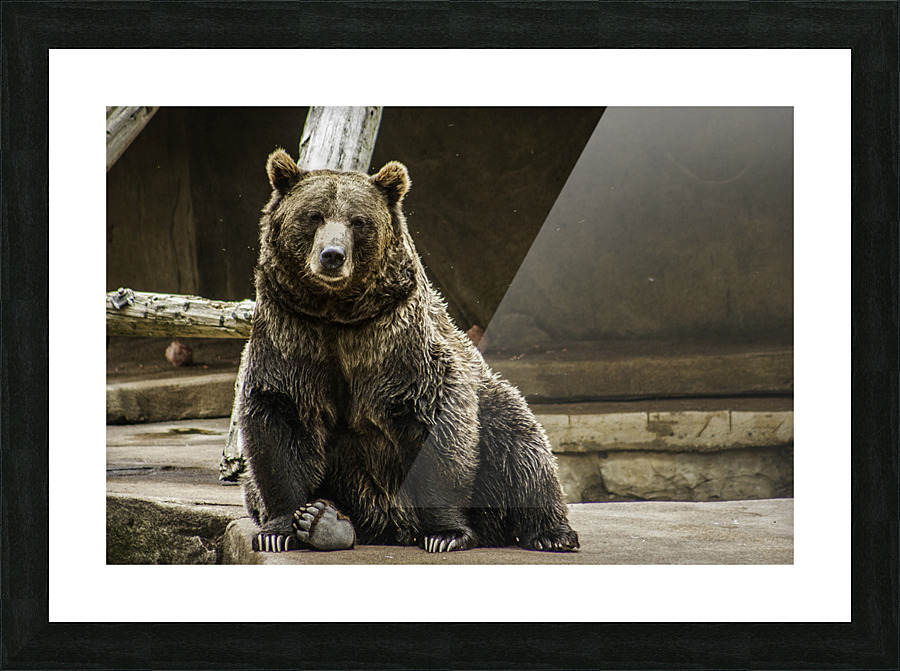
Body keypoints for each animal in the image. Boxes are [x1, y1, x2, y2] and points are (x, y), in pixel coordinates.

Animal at [238, 148, 579, 554]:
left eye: (358, 221)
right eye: (313, 216)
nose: (332, 255)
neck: (338, 315)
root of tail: (394, 524)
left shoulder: (399, 345)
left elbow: (439, 428)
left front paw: (446, 534)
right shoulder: (293, 336)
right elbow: (278, 422)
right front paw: (278, 530)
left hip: (494, 409)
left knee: (521, 449)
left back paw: (550, 533)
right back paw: (326, 521)